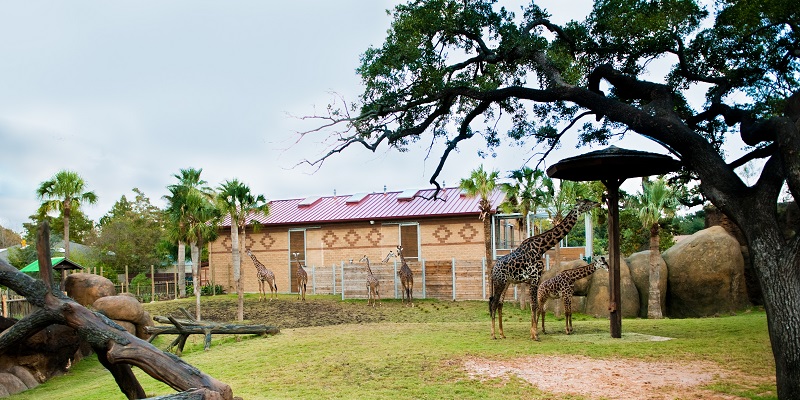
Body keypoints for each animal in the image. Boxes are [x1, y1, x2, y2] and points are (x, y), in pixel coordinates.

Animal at [488, 198, 600, 340]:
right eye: (586, 203)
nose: (597, 203)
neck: (541, 247)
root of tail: (493, 268)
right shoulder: (535, 277)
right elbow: (535, 305)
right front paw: (535, 335)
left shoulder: (533, 279)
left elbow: (534, 305)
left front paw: (533, 333)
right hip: (500, 282)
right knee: (493, 303)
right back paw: (493, 335)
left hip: (506, 282)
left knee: (499, 303)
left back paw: (502, 334)